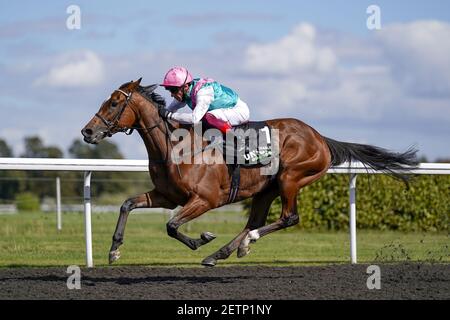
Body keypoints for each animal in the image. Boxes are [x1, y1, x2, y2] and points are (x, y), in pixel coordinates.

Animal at [81, 79, 418, 266]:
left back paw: (239, 244)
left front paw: (201, 239)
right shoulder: (167, 195)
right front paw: (114, 251)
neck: (176, 145)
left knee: (287, 218)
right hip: (265, 189)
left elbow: (172, 226)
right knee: (254, 221)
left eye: (114, 103)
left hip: (291, 178)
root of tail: (320, 137)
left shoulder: (204, 200)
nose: (87, 131)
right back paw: (223, 253)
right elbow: (128, 204)